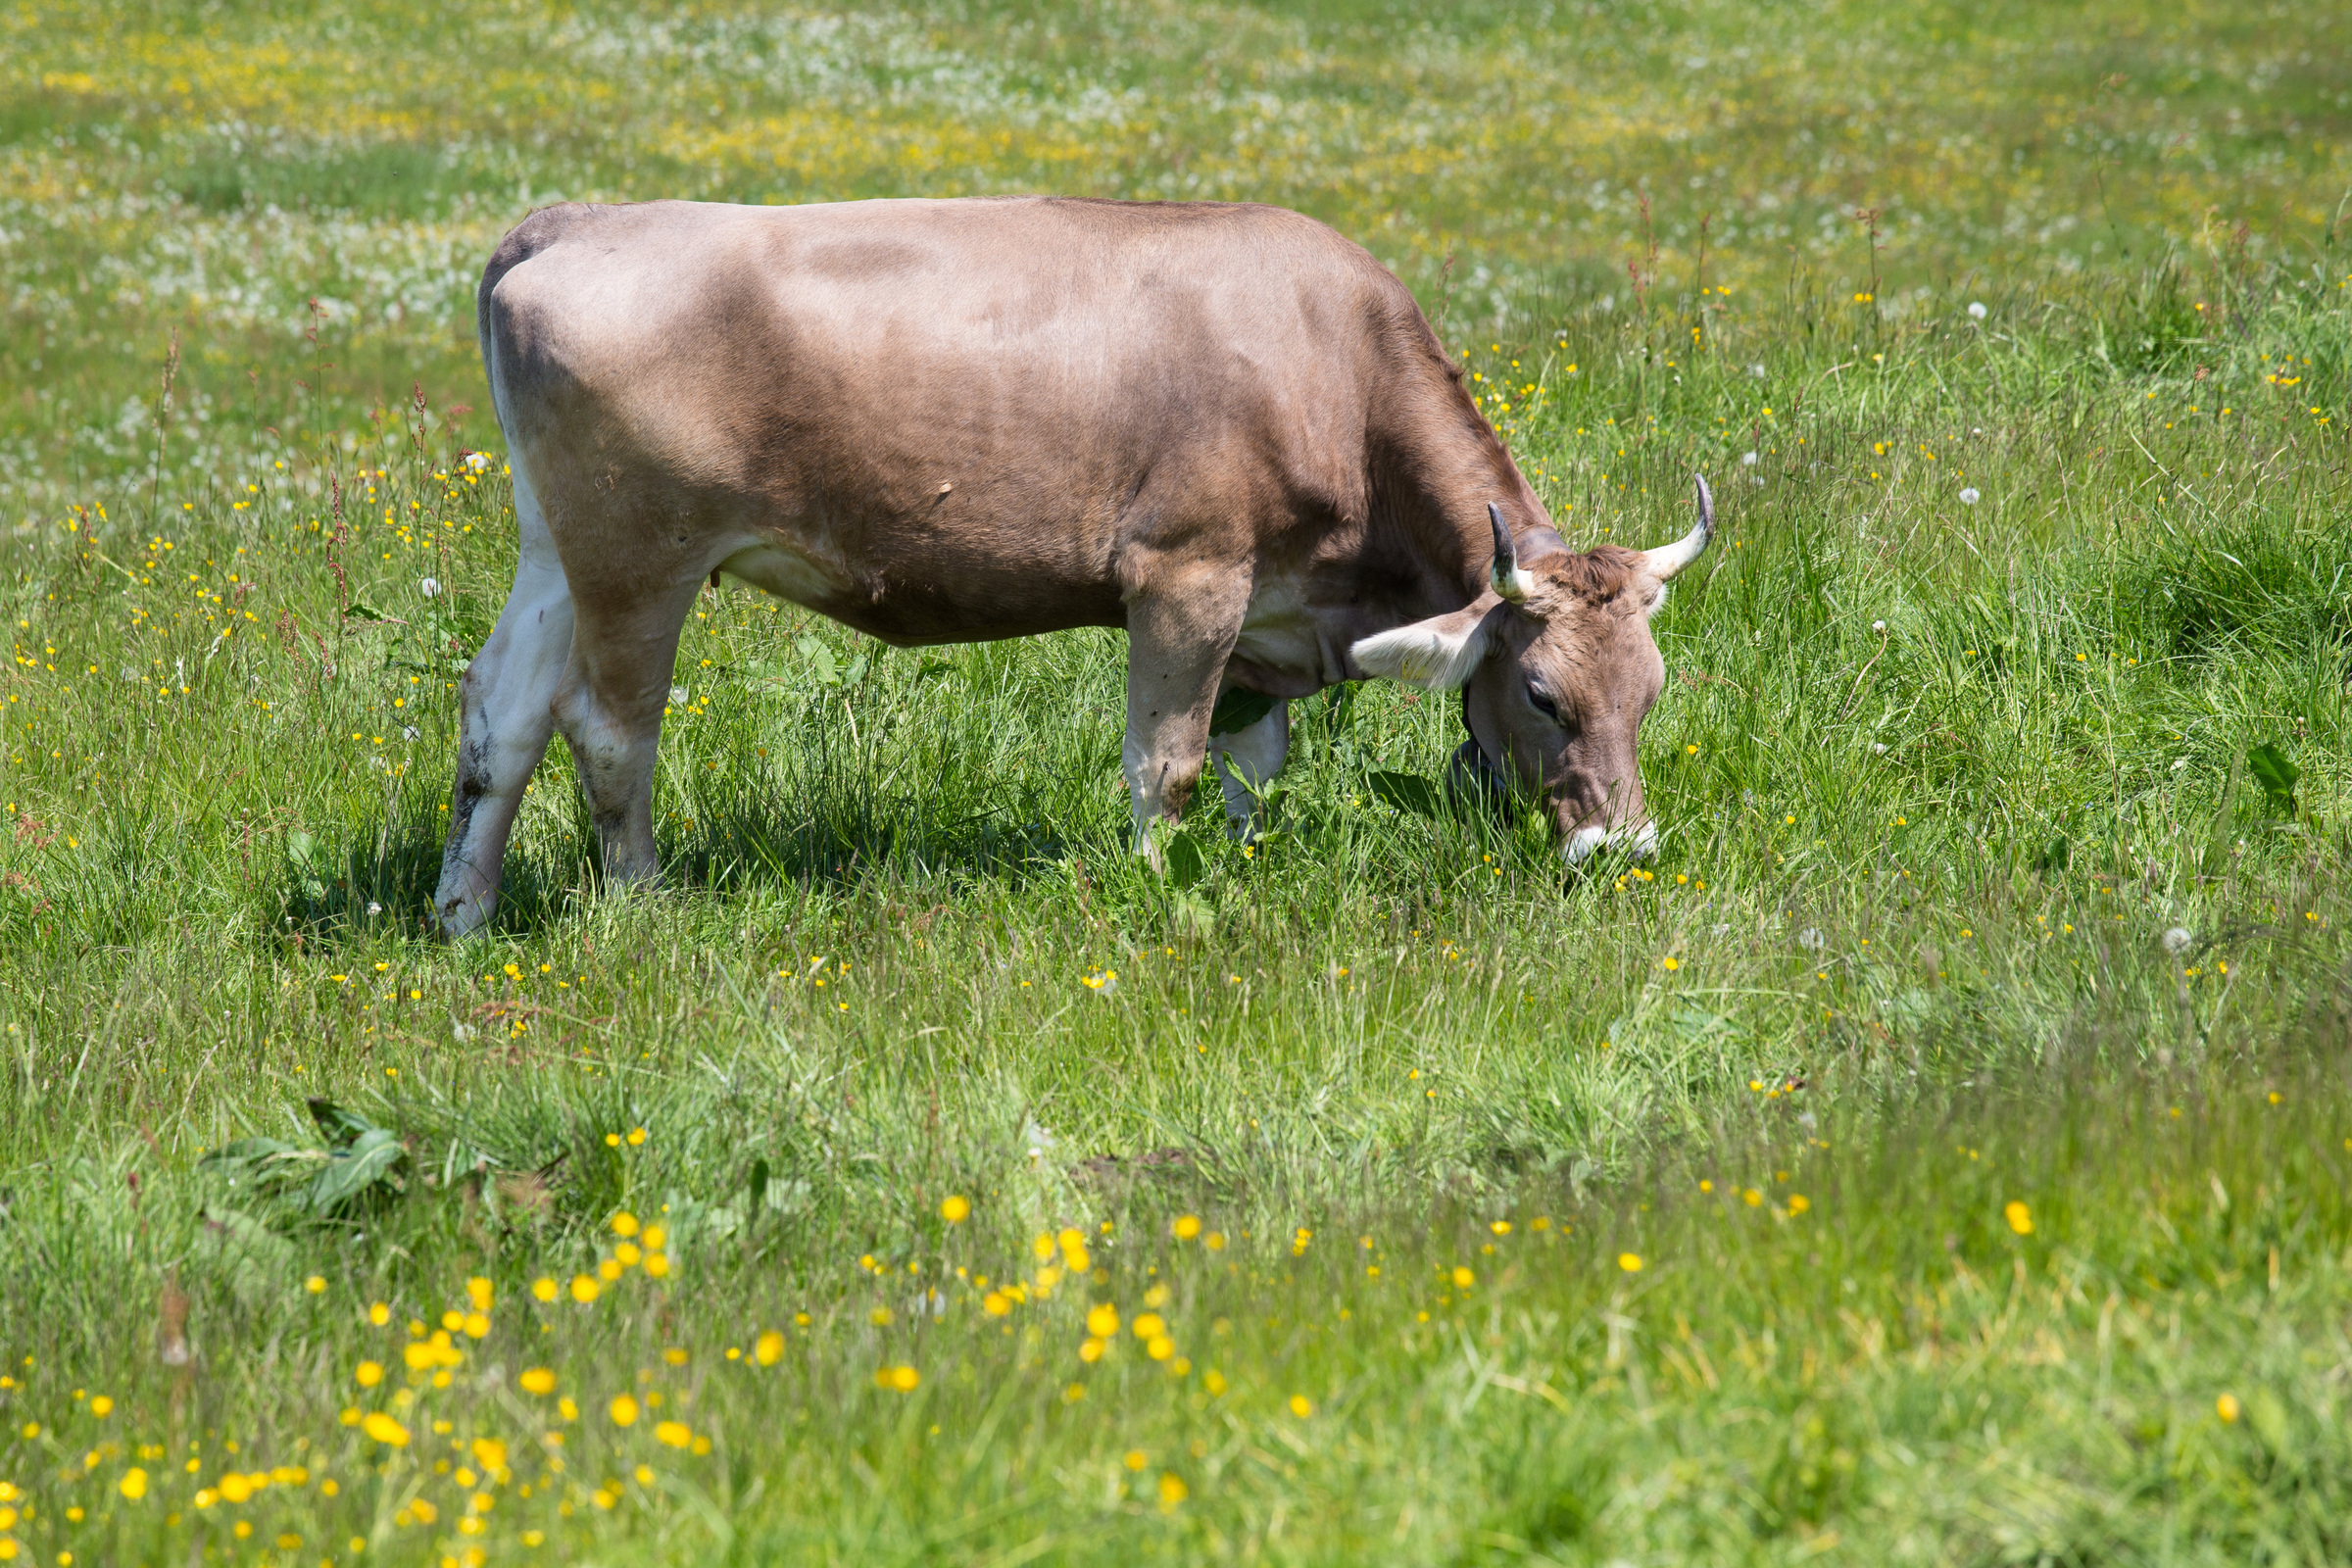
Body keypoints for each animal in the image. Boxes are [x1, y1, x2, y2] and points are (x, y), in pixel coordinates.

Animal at [431, 196, 1712, 938]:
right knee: (607, 726)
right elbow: (1169, 764)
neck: (1332, 369)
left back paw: (462, 912)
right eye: (1541, 694)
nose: (1624, 854)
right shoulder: (1187, 578)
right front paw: (1157, 884)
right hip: (638, 552)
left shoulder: (1266, 618)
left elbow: (1253, 767)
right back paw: (642, 906)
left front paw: (1231, 870)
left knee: (502, 710)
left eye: (1651, 692)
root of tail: (572, 220)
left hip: (553, 545)